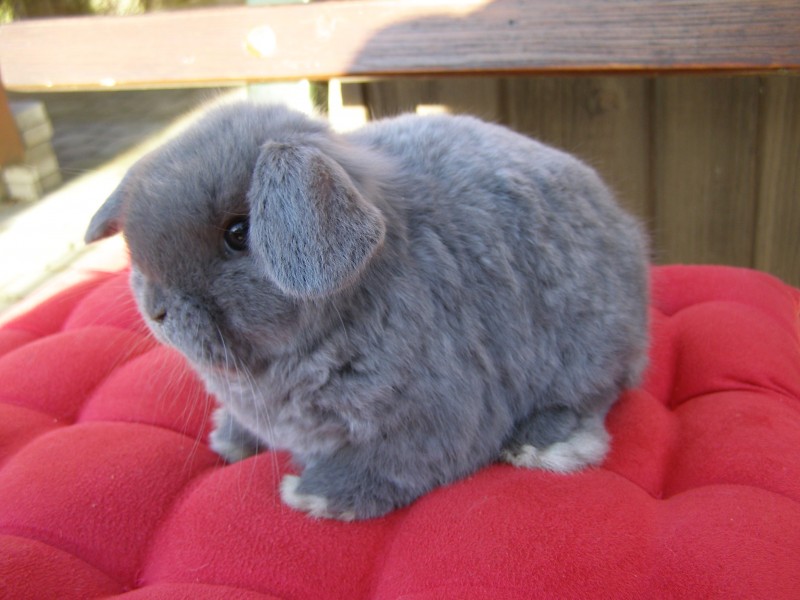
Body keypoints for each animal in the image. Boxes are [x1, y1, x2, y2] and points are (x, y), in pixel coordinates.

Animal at [85, 101, 649, 521]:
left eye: (239, 233)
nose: (156, 309)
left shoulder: (435, 421)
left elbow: (389, 466)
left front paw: (315, 494)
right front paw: (230, 438)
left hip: (582, 350)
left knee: (589, 401)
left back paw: (539, 444)